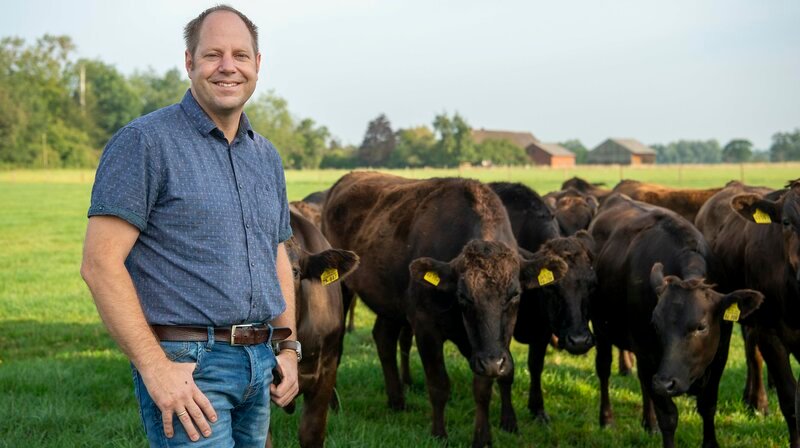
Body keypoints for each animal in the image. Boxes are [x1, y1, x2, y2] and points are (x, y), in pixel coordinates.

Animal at [320, 172, 568, 448]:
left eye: (515, 294)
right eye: (464, 296)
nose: (493, 362)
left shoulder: (489, 346)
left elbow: (483, 387)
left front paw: (483, 438)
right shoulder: (425, 327)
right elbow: (439, 384)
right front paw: (439, 434)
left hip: (390, 302)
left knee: (384, 339)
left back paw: (397, 401)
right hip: (342, 290)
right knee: (338, 349)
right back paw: (333, 404)